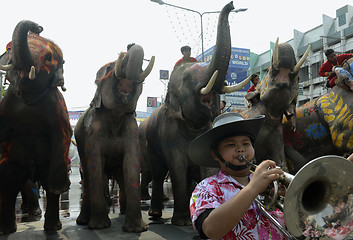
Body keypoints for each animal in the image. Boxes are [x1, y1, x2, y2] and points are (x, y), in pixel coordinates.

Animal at [0, 20, 71, 234]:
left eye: (48, 58)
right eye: (9, 52)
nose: (38, 27)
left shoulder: (56, 105)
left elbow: (63, 133)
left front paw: (60, 186)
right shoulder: (6, 105)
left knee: (46, 184)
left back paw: (52, 227)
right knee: (8, 183)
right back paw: (7, 230)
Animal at [74, 44, 154, 232]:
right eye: (110, 67)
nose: (130, 46)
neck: (115, 117)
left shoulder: (132, 129)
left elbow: (131, 164)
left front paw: (137, 229)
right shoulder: (92, 132)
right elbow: (95, 164)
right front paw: (99, 227)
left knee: (121, 177)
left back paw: (123, 211)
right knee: (87, 176)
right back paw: (84, 221)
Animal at [138, 1, 250, 226]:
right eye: (190, 79)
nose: (231, 4)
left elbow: (206, 166)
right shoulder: (169, 132)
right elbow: (178, 166)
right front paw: (181, 222)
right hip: (150, 144)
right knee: (158, 172)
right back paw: (155, 214)